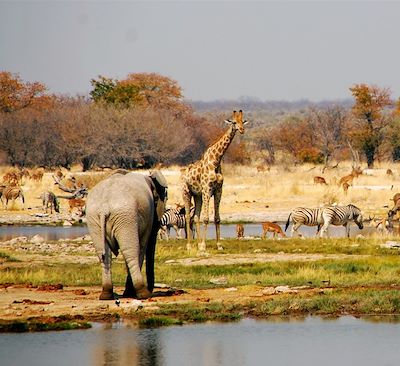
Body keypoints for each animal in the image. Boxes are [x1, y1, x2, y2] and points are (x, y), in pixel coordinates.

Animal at [86, 170, 168, 298]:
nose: (151, 290)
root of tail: (104, 207)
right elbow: (142, 247)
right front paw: (130, 293)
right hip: (125, 216)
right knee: (131, 252)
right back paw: (143, 294)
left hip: (94, 217)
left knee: (103, 253)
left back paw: (106, 295)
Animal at [181, 108, 247, 252]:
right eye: (234, 122)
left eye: (242, 121)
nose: (241, 129)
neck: (216, 160)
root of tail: (183, 172)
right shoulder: (207, 189)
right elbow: (206, 218)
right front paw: (204, 246)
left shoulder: (218, 190)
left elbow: (217, 218)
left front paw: (218, 245)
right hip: (186, 192)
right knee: (188, 216)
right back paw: (189, 245)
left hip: (197, 195)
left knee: (196, 216)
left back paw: (197, 243)